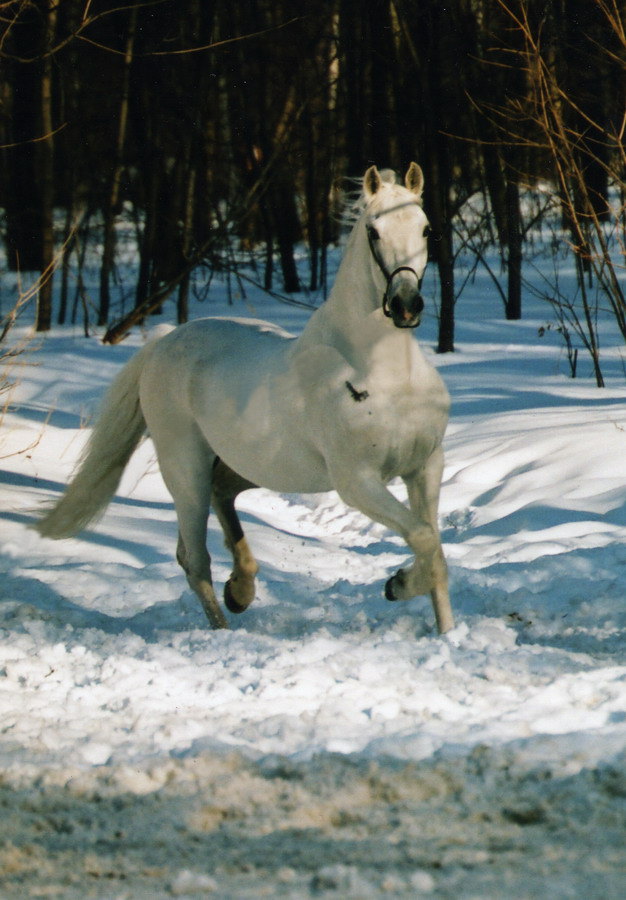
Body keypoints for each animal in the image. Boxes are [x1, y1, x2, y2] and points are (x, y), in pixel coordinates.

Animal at [35, 165, 454, 636]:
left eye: (426, 228)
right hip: (185, 467)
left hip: (249, 465)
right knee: (193, 558)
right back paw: (224, 625)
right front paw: (397, 585)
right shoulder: (358, 481)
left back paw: (242, 588)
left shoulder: (425, 467)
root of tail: (164, 341)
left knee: (221, 498)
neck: (382, 375)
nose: (406, 305)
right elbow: (423, 537)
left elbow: (434, 549)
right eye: (374, 231)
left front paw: (447, 633)